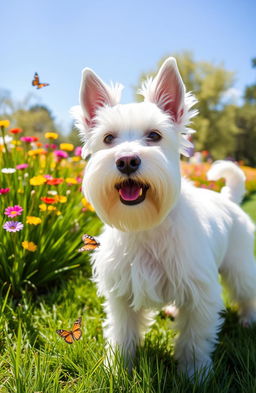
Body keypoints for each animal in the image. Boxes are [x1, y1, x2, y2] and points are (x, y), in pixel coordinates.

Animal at [71, 56, 256, 378]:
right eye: (108, 138)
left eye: (154, 136)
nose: (127, 160)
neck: (147, 226)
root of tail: (228, 198)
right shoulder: (122, 295)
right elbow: (123, 334)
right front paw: (117, 369)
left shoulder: (200, 295)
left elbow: (193, 340)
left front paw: (194, 376)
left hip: (239, 266)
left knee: (247, 293)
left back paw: (248, 320)